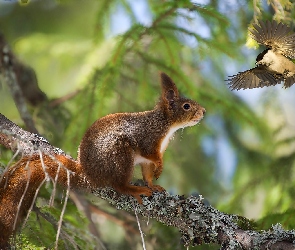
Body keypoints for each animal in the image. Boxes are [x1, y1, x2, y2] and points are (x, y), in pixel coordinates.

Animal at [78, 72, 206, 203]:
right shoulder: (148, 138)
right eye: (186, 106)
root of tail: (86, 170)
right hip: (119, 155)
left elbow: (148, 174)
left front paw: (153, 185)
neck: (165, 122)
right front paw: (160, 167)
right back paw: (136, 190)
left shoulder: (149, 159)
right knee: (119, 186)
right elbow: (150, 154)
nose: (204, 111)